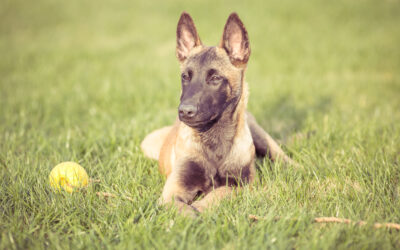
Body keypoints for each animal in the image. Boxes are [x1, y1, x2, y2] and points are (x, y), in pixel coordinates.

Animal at [142, 11, 292, 216]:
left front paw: (202, 206)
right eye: (185, 77)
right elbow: (181, 207)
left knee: (282, 158)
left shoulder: (246, 185)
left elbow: (222, 190)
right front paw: (192, 215)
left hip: (262, 138)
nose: (184, 111)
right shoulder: (172, 191)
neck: (215, 141)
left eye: (215, 78)